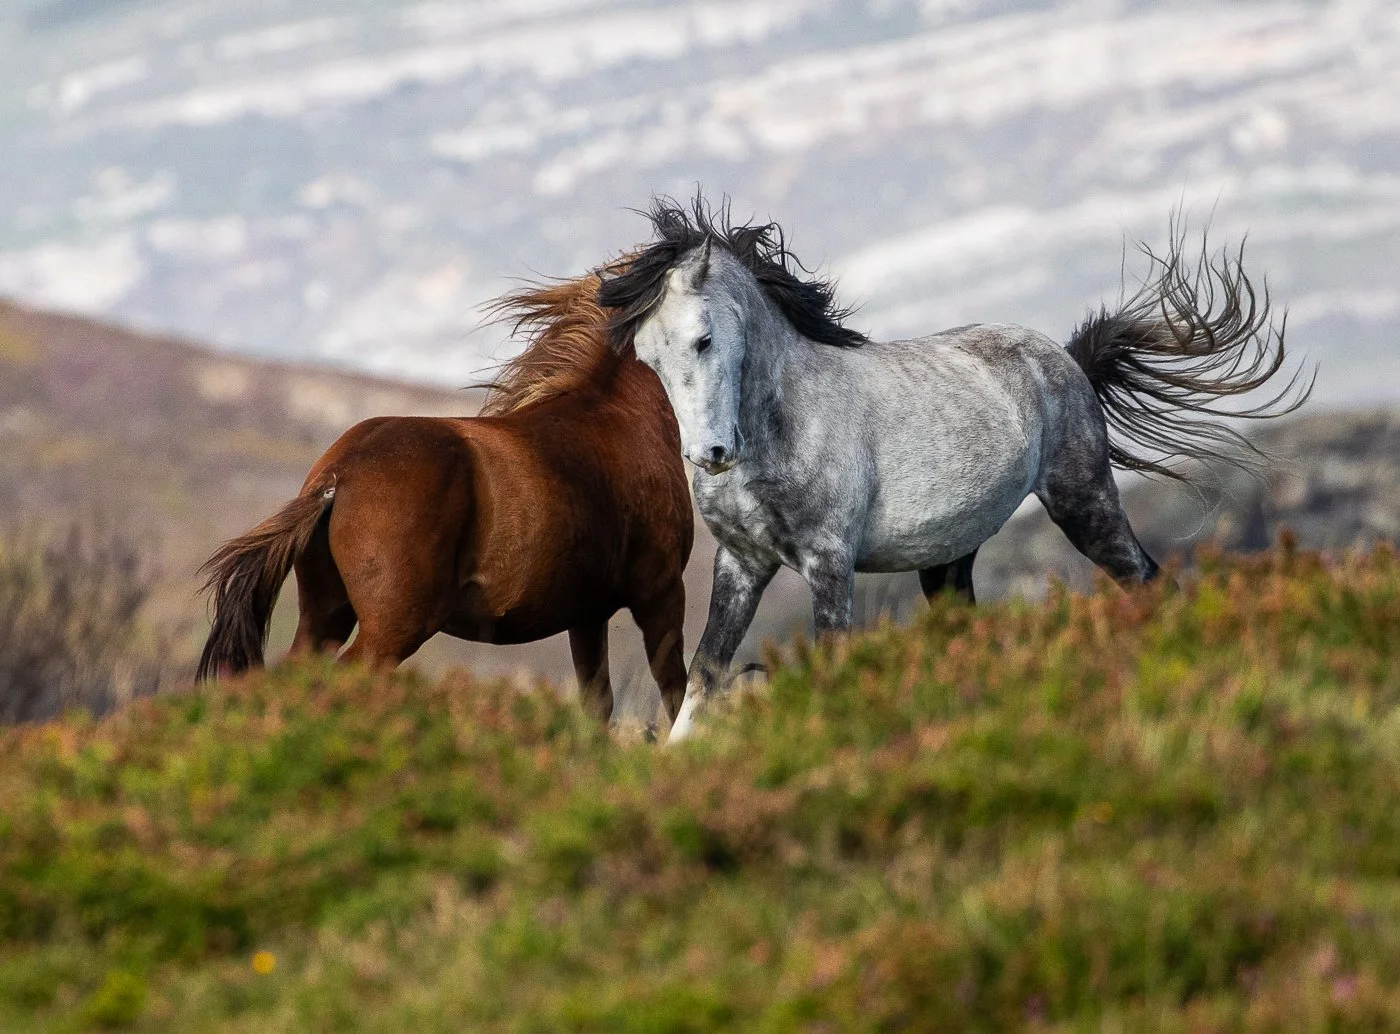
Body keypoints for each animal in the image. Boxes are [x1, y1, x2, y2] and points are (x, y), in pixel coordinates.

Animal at [196, 270, 694, 727]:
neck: (617, 415)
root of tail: (338, 476)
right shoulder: (660, 591)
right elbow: (676, 689)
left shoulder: (588, 613)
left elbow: (599, 705)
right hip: (392, 629)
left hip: (325, 614)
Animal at [596, 197, 1310, 741]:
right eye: (648, 359)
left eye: (703, 339)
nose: (711, 456)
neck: (785, 420)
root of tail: (1066, 358)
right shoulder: (742, 563)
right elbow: (703, 675)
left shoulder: (828, 562)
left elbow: (826, 661)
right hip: (948, 558)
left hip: (1084, 503)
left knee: (1147, 578)